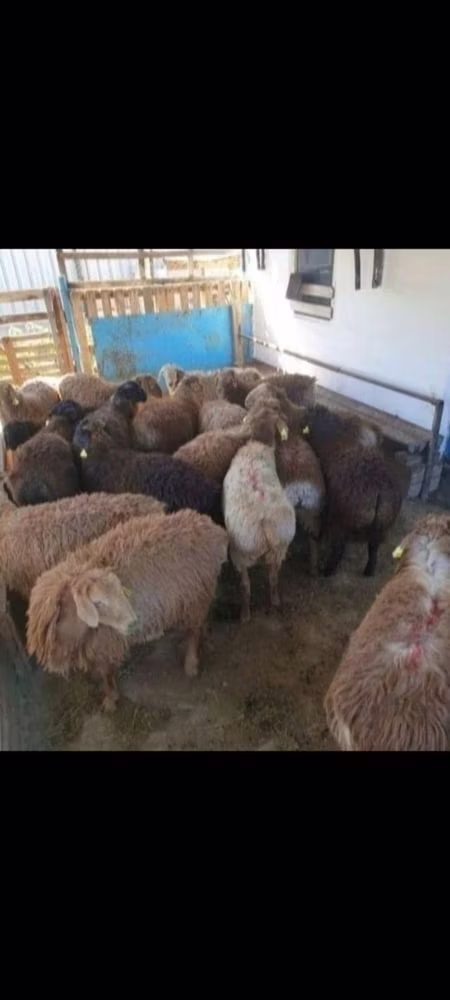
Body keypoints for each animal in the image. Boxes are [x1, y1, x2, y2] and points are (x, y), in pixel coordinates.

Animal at [27, 509, 229, 711]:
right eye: (97, 602)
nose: (133, 622)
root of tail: (212, 528)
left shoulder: (105, 644)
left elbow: (106, 673)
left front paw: (110, 700)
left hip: (196, 596)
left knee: (194, 631)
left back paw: (191, 663)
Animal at [223, 401, 297, 621]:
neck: (257, 445)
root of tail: (266, 524)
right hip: (280, 550)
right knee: (273, 578)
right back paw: (275, 600)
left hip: (240, 555)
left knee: (245, 586)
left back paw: (245, 614)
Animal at [303, 405, 402, 577]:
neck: (331, 439)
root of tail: (379, 492)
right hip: (381, 524)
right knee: (373, 548)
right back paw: (369, 570)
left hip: (343, 519)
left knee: (340, 548)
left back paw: (327, 570)